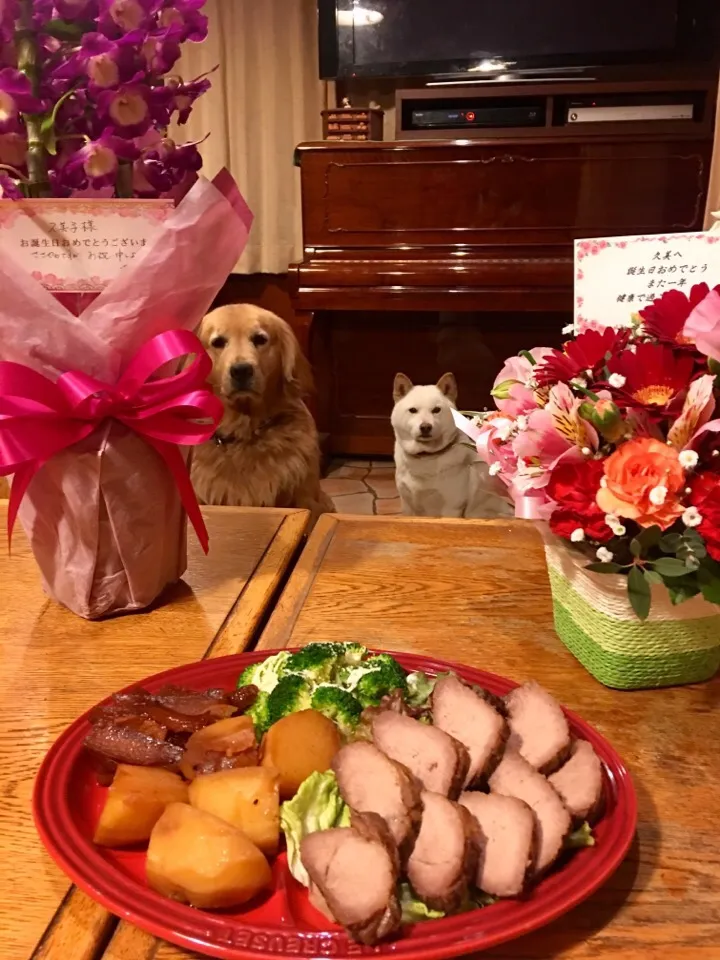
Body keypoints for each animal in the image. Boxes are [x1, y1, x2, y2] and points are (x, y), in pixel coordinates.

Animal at [390, 374, 516, 520]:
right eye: (413, 410)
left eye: (436, 410)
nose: (425, 427)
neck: (425, 457)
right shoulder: (407, 506)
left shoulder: (451, 507)